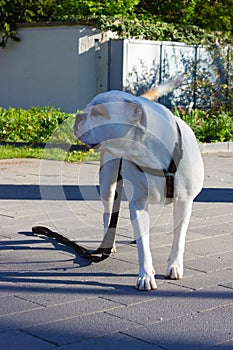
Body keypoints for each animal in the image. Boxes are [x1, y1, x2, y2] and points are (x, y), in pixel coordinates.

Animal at [74, 80, 204, 292]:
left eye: (99, 112)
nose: (78, 116)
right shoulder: (138, 202)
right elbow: (144, 245)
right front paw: (146, 275)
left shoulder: (184, 202)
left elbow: (179, 238)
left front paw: (174, 266)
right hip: (108, 183)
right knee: (107, 213)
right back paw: (109, 242)